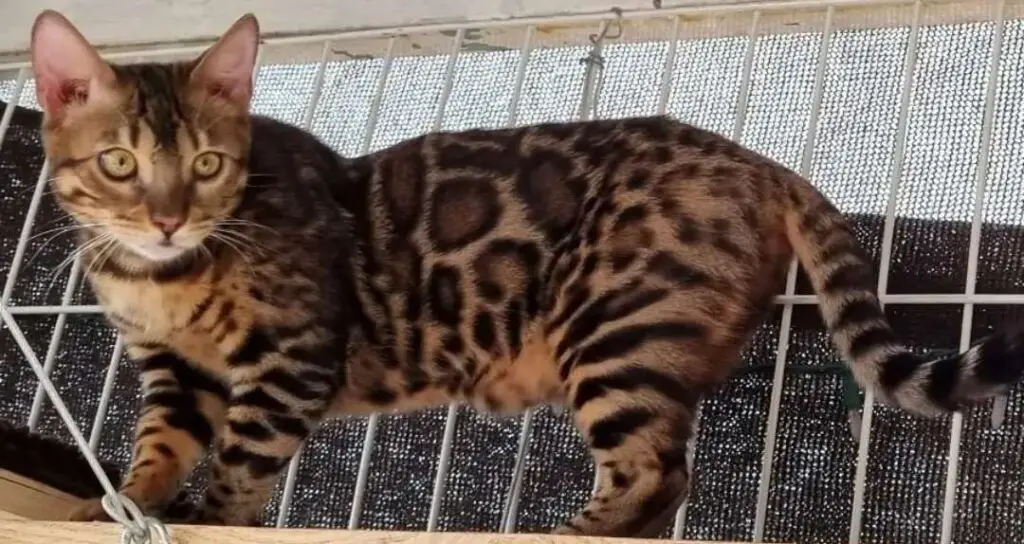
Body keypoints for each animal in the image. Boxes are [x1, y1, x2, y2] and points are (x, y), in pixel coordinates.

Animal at [29, 10, 1024, 536]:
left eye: (207, 165)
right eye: (119, 163)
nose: (167, 217)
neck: (159, 279)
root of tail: (757, 160)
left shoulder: (290, 356)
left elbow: (239, 468)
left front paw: (217, 516)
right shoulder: (174, 371)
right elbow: (157, 448)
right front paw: (120, 506)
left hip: (615, 322)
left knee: (656, 474)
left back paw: (569, 530)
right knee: (667, 473)